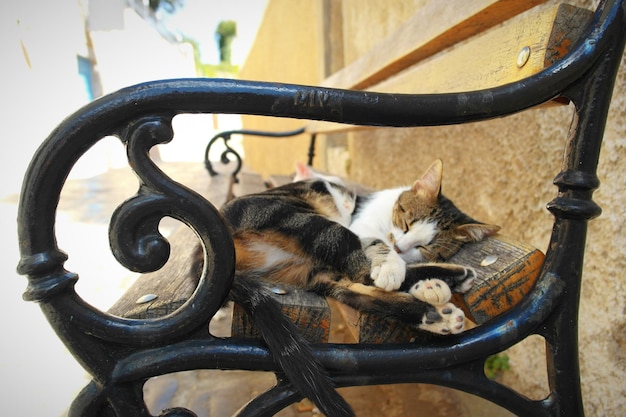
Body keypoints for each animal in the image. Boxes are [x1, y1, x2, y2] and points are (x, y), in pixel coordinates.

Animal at [202, 158, 494, 412]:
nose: (402, 246)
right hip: (305, 222)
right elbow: (379, 246)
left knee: (358, 290)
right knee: (360, 271)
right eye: (406, 222)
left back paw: (440, 305)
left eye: (426, 246)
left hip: (315, 269)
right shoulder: (362, 228)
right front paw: (394, 269)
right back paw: (433, 287)